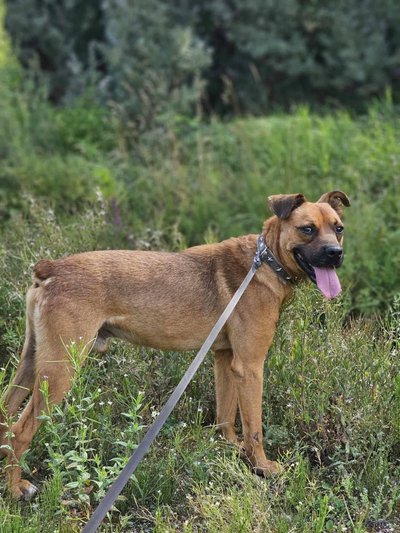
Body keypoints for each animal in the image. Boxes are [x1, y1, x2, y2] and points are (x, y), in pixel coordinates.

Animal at [0, 191, 350, 498]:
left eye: (339, 229)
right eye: (307, 229)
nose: (336, 254)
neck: (265, 261)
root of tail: (51, 268)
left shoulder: (225, 360)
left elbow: (226, 414)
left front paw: (230, 447)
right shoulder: (250, 367)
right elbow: (255, 428)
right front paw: (262, 466)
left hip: (33, 362)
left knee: (6, 416)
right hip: (60, 370)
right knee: (20, 432)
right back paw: (16, 490)